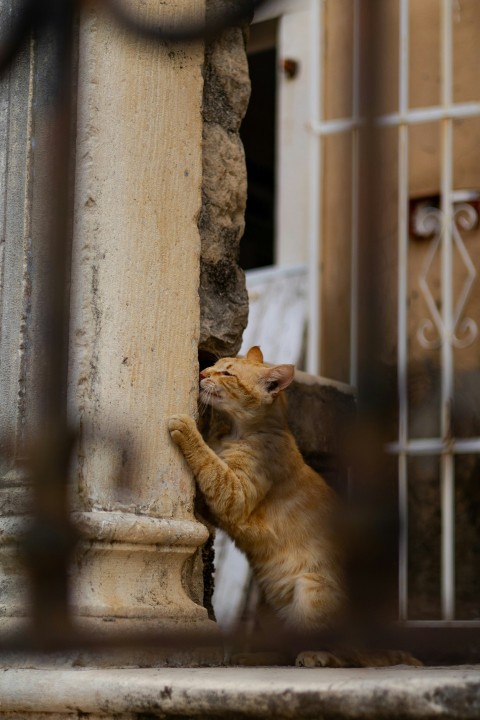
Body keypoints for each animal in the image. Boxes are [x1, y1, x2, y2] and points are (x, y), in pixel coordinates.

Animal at [168, 346, 420, 668]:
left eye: (227, 373)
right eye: (215, 365)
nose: (201, 373)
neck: (236, 432)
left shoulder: (235, 495)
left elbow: (210, 465)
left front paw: (189, 430)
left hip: (311, 589)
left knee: (347, 657)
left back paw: (317, 656)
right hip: (266, 607)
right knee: (288, 651)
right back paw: (253, 657)